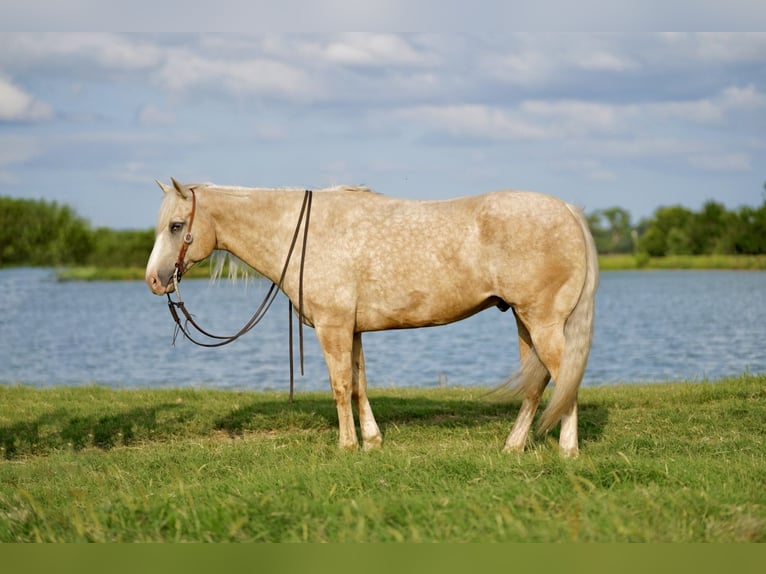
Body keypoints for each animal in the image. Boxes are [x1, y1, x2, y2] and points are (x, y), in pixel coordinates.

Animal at [144, 179, 600, 460]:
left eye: (177, 225)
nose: (155, 279)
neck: (305, 234)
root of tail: (568, 211)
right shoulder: (353, 329)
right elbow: (359, 384)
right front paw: (372, 441)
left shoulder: (333, 327)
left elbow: (340, 386)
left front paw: (347, 446)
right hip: (525, 323)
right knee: (536, 383)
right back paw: (513, 446)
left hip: (542, 322)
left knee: (564, 378)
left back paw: (567, 450)